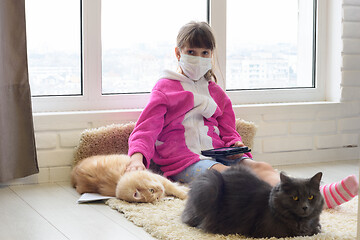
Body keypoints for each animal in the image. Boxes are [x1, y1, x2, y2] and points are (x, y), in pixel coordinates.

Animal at [181, 164, 324, 237]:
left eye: (311, 197)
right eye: (295, 198)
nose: (305, 207)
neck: (301, 222)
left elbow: (316, 229)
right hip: (210, 185)